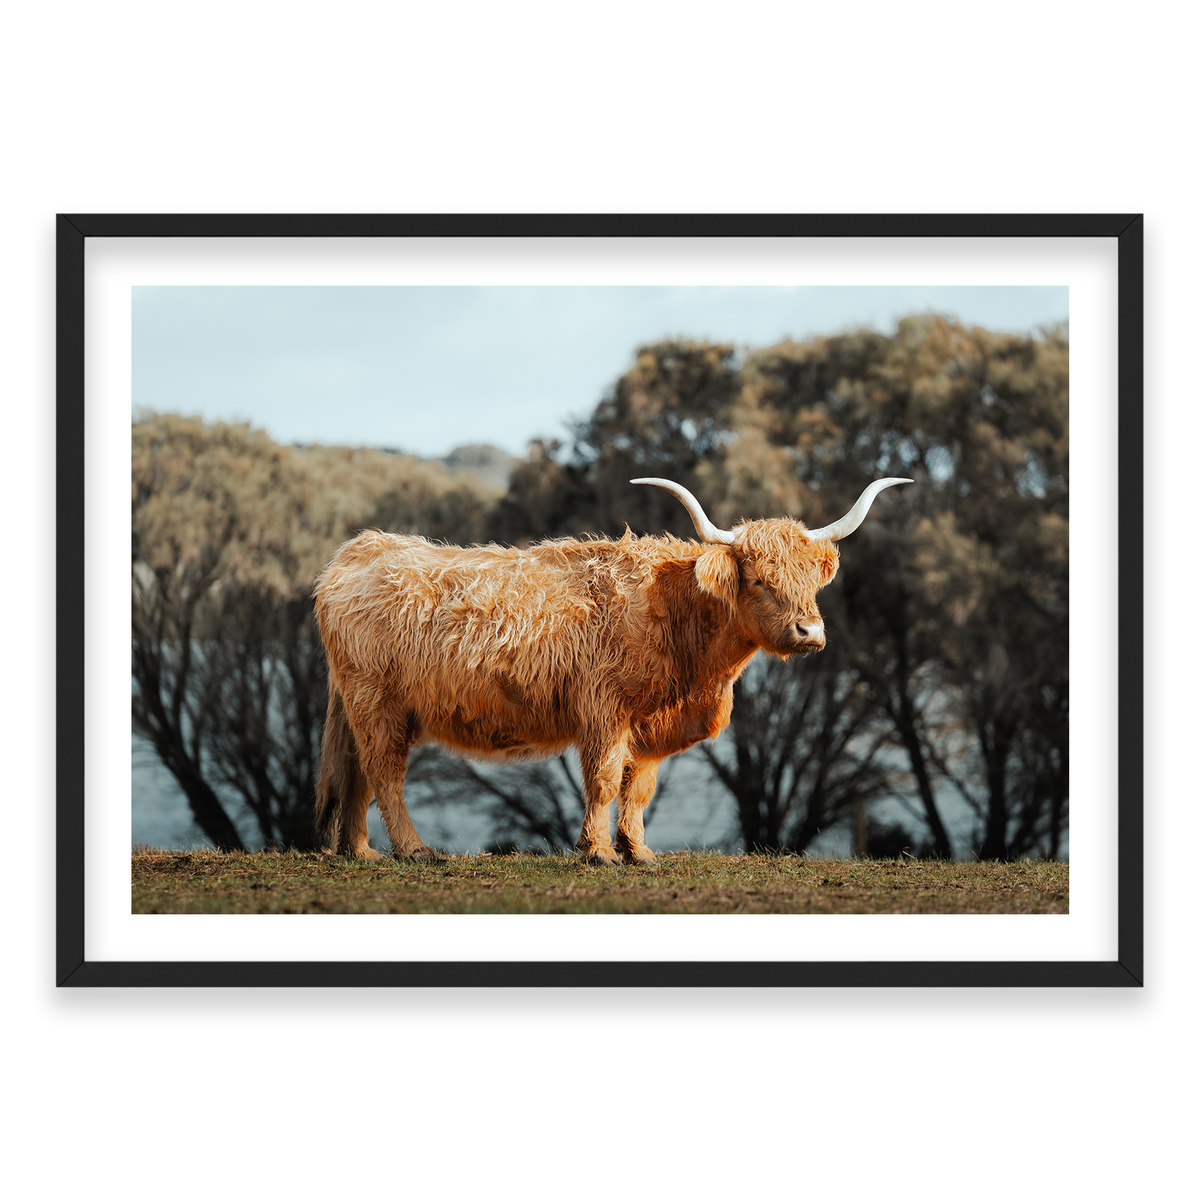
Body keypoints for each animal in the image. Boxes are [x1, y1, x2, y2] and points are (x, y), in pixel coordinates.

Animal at [313, 476, 911, 865]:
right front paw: (597, 852)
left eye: (811, 580)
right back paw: (414, 851)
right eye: (761, 580)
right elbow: (602, 780)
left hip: (364, 706)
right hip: (377, 702)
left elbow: (639, 786)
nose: (810, 632)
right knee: (385, 773)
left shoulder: (647, 723)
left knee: (357, 774)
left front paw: (638, 851)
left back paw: (361, 852)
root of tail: (359, 549)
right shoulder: (604, 709)